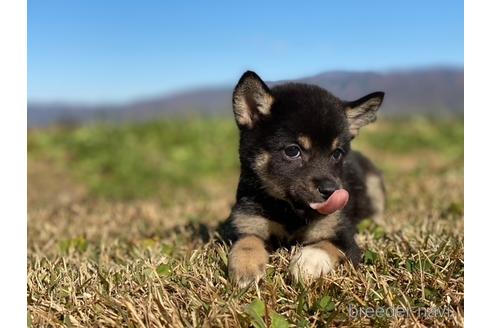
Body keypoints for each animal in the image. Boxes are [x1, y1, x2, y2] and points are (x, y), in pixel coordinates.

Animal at [221, 70, 386, 286]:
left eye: (337, 154)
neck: (291, 212)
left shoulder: (343, 236)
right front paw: (246, 267)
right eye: (293, 151)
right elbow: (247, 242)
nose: (331, 191)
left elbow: (325, 245)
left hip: (374, 184)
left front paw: (307, 262)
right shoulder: (247, 223)